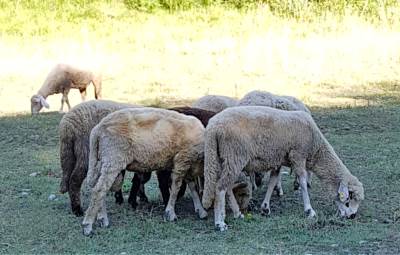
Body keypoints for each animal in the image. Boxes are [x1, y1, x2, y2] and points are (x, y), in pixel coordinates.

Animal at [80, 107, 206, 235]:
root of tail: (98, 128)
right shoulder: (182, 160)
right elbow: (176, 188)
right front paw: (170, 213)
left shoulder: (188, 164)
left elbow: (193, 187)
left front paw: (200, 210)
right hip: (113, 158)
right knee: (99, 190)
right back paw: (88, 225)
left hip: (104, 160)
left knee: (99, 187)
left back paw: (102, 218)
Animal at [203, 105, 366, 231]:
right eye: (349, 198)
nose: (352, 216)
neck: (316, 148)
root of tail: (213, 127)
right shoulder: (298, 155)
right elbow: (302, 181)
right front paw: (309, 210)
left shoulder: (278, 159)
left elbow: (273, 181)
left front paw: (265, 207)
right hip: (234, 155)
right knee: (220, 188)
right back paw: (220, 223)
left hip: (223, 158)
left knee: (227, 187)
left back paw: (237, 213)